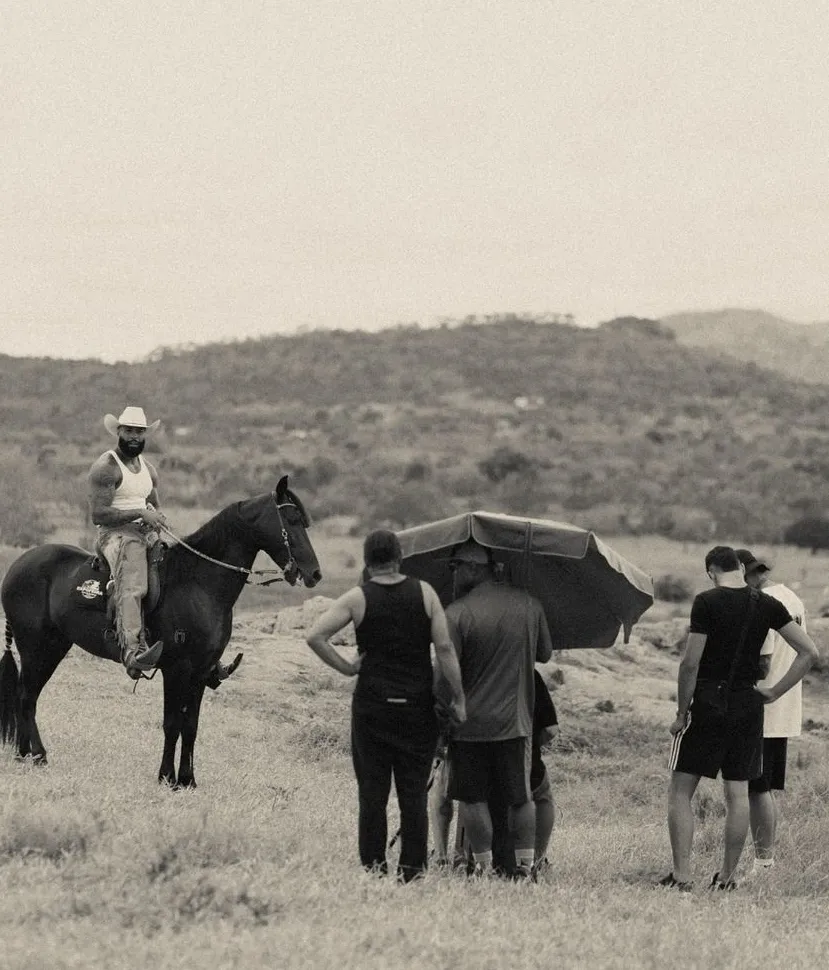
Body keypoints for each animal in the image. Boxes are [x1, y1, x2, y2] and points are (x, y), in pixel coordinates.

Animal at [0, 476, 320, 788]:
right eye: (292, 519)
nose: (315, 573)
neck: (198, 583)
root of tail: (17, 566)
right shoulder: (176, 668)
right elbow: (172, 724)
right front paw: (167, 776)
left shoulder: (200, 671)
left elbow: (190, 726)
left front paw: (188, 780)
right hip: (35, 647)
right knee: (26, 696)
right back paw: (38, 755)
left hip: (54, 646)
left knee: (27, 696)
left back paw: (23, 754)